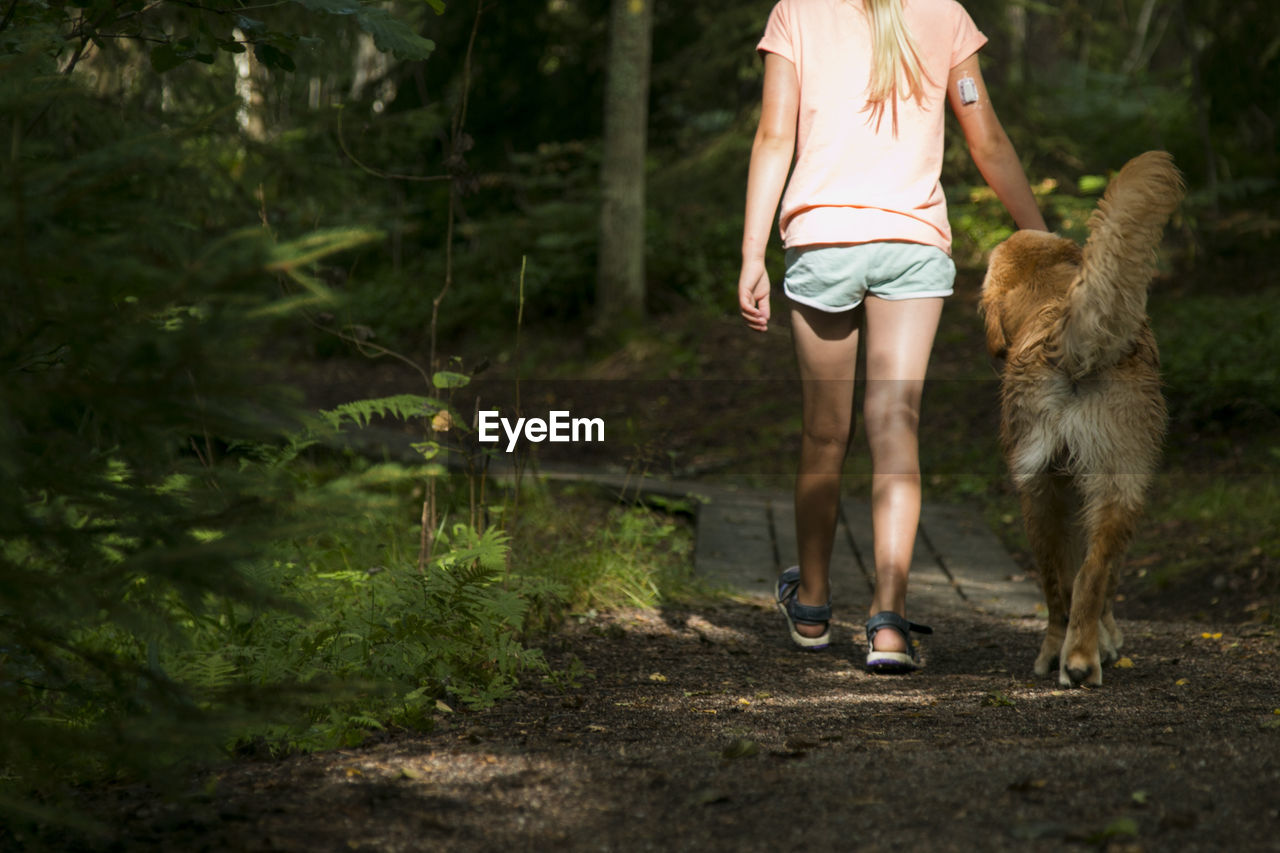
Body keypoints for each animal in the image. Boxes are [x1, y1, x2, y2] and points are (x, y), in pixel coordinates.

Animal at [983, 151, 1182, 686]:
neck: (1051, 294)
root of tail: (1069, 345)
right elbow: (1105, 579)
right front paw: (1111, 640)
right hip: (1105, 485)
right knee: (1087, 577)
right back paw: (1079, 657)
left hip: (1042, 492)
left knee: (1062, 584)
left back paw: (1062, 654)